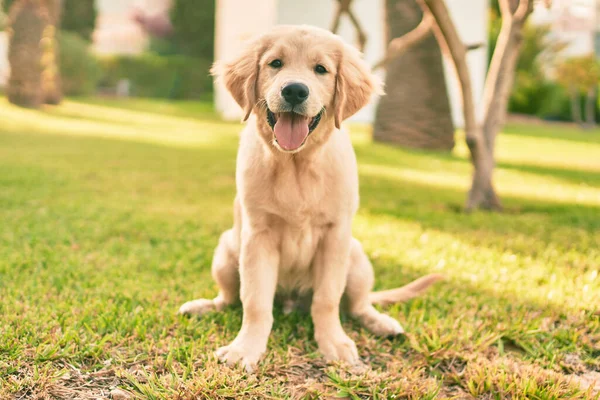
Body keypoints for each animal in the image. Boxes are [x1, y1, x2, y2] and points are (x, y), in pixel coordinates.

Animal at [178, 25, 440, 370]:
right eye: (275, 63)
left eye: (321, 69)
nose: (294, 91)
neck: (296, 163)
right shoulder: (258, 235)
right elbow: (255, 301)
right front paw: (245, 348)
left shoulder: (335, 235)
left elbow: (327, 299)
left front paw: (334, 343)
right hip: (225, 253)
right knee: (230, 299)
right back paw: (203, 306)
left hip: (356, 257)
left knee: (358, 305)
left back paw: (381, 323)